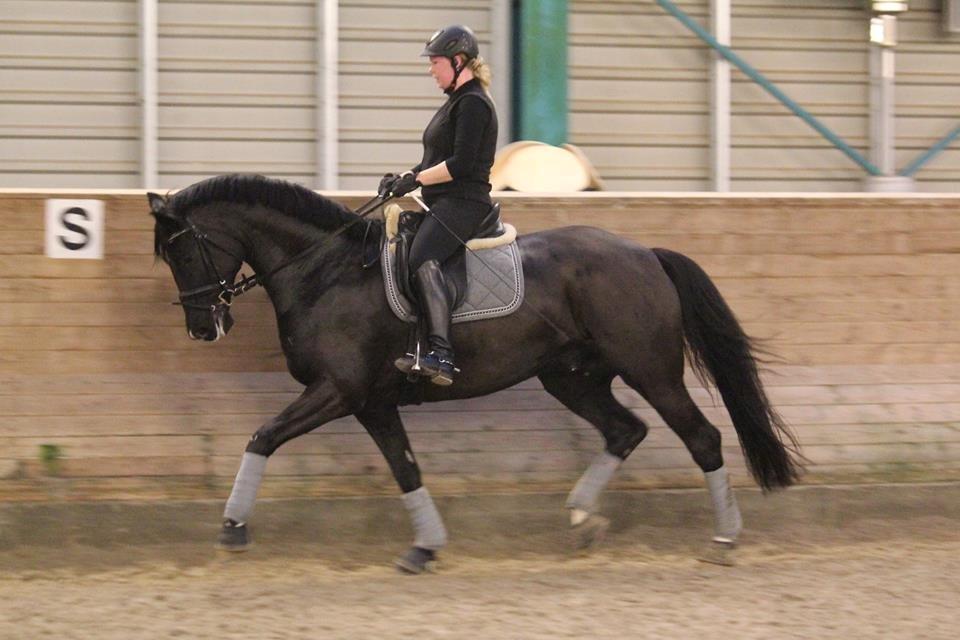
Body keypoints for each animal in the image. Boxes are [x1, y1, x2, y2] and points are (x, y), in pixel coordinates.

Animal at [150, 174, 804, 568]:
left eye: (182, 249)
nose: (203, 327)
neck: (327, 271)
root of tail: (645, 254)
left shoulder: (338, 391)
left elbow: (262, 436)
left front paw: (232, 528)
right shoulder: (372, 401)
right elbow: (405, 468)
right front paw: (425, 547)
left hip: (651, 371)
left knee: (702, 438)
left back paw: (723, 538)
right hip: (570, 375)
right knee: (626, 430)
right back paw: (582, 517)